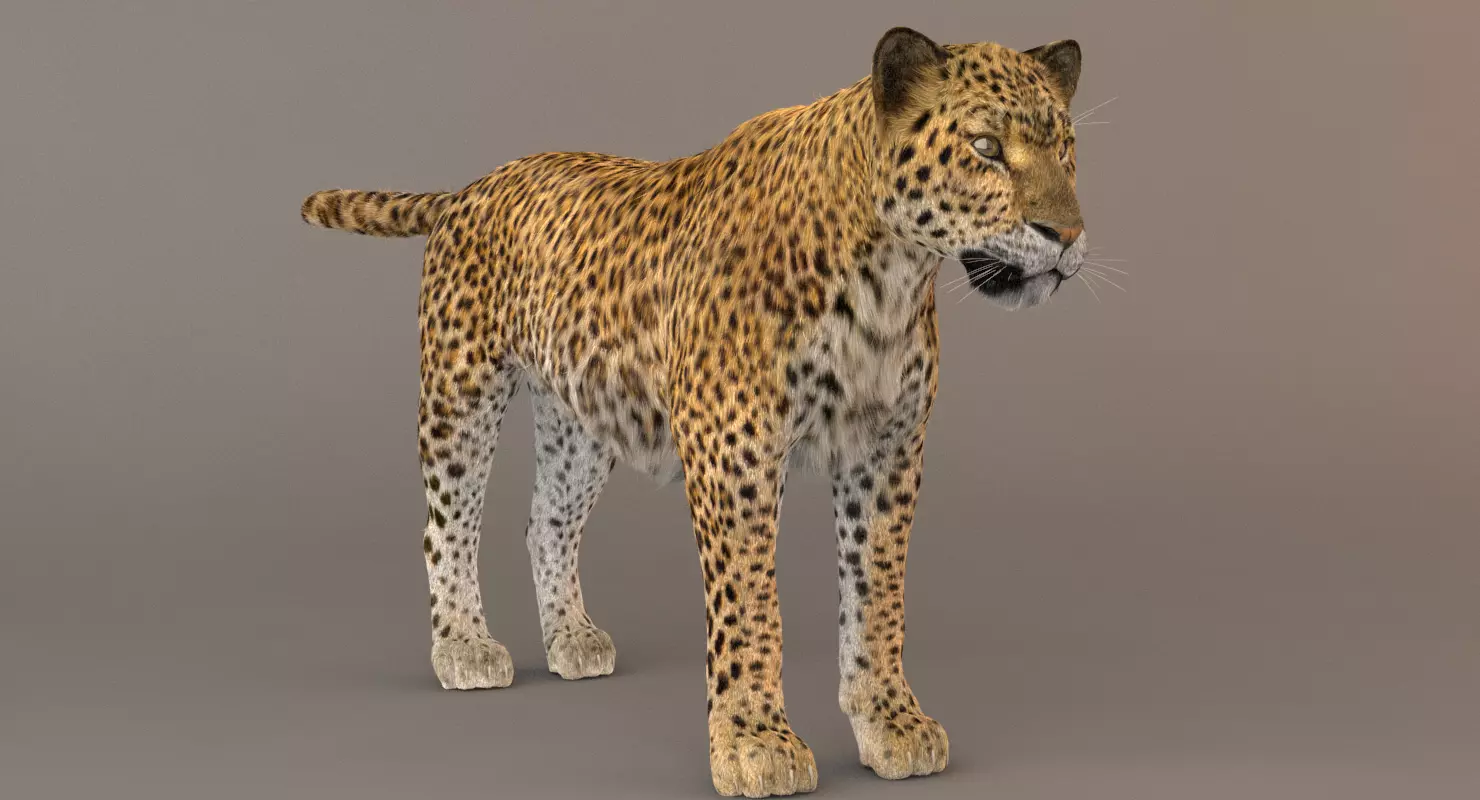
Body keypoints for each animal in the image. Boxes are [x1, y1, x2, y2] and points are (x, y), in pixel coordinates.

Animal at [299, 26, 1090, 797]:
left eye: (1065, 147)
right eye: (985, 148)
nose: (1069, 235)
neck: (888, 279)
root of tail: (472, 186)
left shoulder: (886, 452)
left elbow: (877, 594)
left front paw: (891, 723)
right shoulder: (732, 449)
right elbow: (750, 605)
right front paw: (754, 744)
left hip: (580, 417)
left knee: (545, 521)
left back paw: (571, 638)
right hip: (460, 388)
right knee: (448, 525)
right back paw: (463, 645)